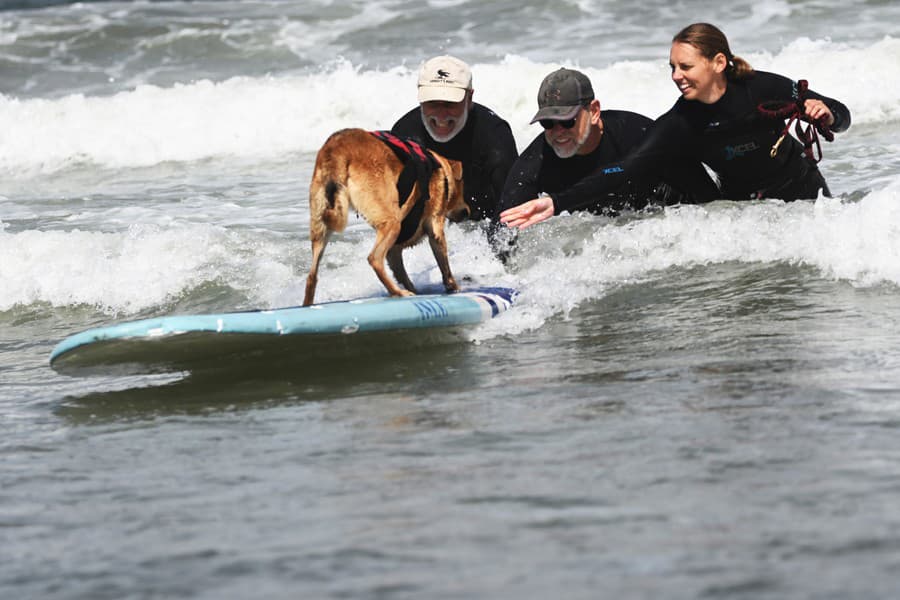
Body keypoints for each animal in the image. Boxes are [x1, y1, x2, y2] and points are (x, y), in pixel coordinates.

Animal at [304, 126, 468, 304]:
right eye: (462, 188)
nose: (467, 212)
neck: (442, 171)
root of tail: (337, 148)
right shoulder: (435, 227)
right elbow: (444, 264)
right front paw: (453, 286)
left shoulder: (394, 249)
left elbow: (401, 271)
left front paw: (414, 289)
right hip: (392, 223)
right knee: (374, 259)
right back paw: (398, 292)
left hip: (320, 227)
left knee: (311, 277)